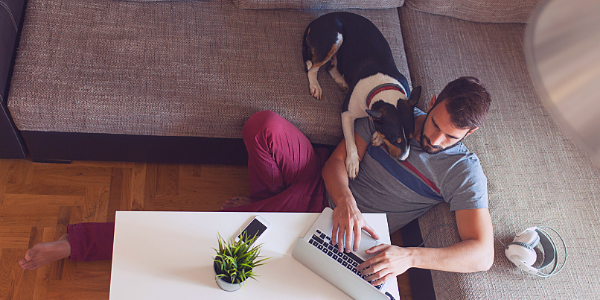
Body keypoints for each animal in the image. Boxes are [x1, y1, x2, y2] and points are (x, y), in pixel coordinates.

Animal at [302, 12, 420, 178]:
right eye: (394, 139)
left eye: (411, 137)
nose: (403, 159)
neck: (383, 88)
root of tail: (321, 18)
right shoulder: (346, 114)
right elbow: (350, 141)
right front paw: (352, 163)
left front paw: (378, 137)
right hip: (335, 38)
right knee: (313, 68)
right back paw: (315, 86)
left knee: (330, 68)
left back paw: (343, 82)